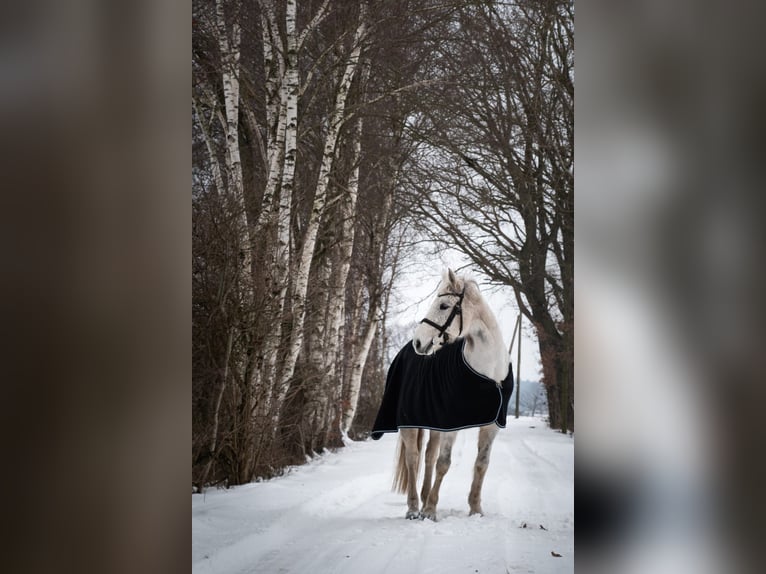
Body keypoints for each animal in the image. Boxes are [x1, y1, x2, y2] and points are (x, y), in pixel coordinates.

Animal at [393, 269, 510, 520]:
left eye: (444, 305)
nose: (419, 342)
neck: (487, 372)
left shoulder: (491, 426)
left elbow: (481, 463)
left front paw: (475, 509)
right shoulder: (451, 424)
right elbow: (444, 463)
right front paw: (430, 510)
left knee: (428, 455)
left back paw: (423, 499)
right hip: (410, 423)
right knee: (413, 458)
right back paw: (414, 508)